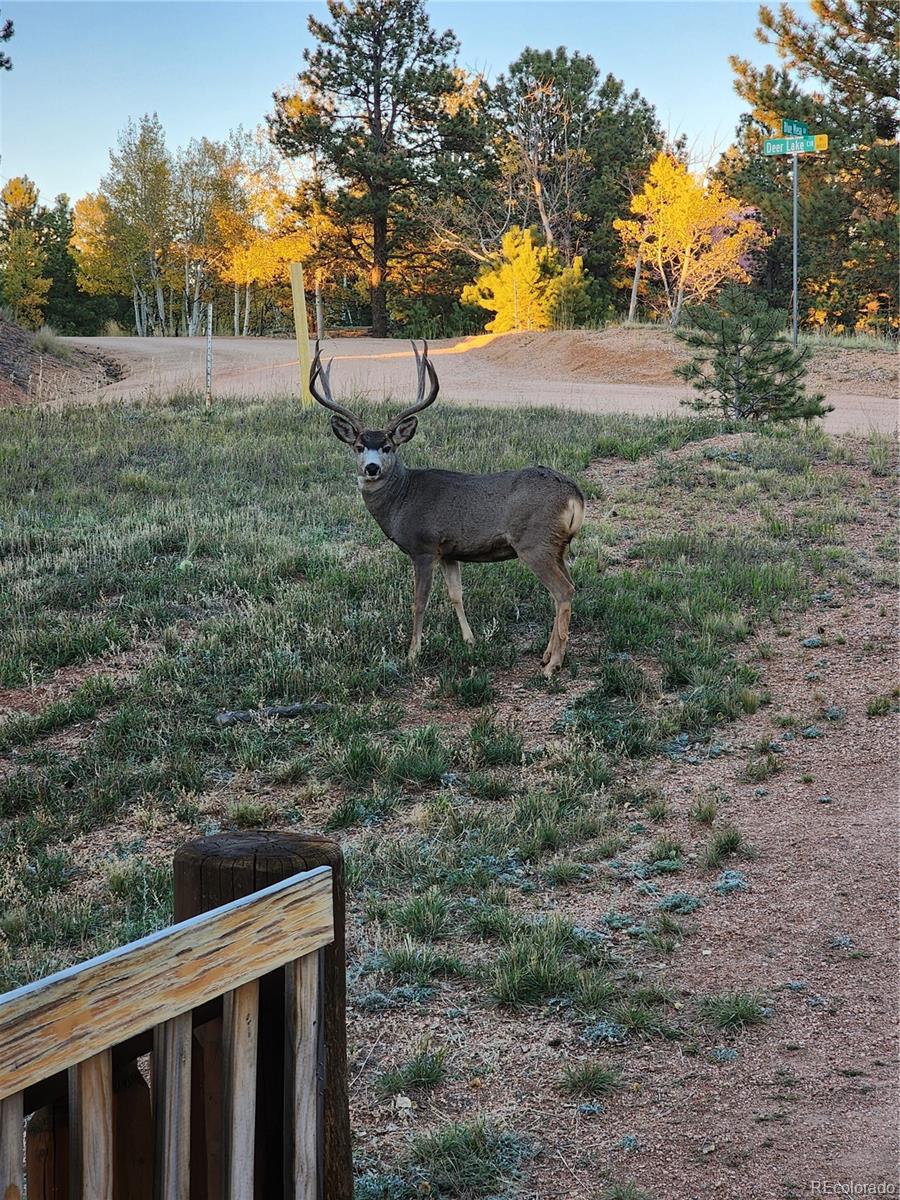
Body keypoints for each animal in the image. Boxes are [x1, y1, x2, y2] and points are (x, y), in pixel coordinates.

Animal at [309, 341, 585, 676]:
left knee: (563, 592)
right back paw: (546, 655)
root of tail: (574, 493)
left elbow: (419, 602)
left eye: (388, 446)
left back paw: (552, 665)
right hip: (557, 546)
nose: (371, 468)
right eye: (359, 447)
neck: (402, 499)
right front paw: (470, 641)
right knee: (566, 589)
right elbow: (456, 595)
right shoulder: (450, 551)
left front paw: (412, 655)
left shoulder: (424, 547)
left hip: (535, 542)